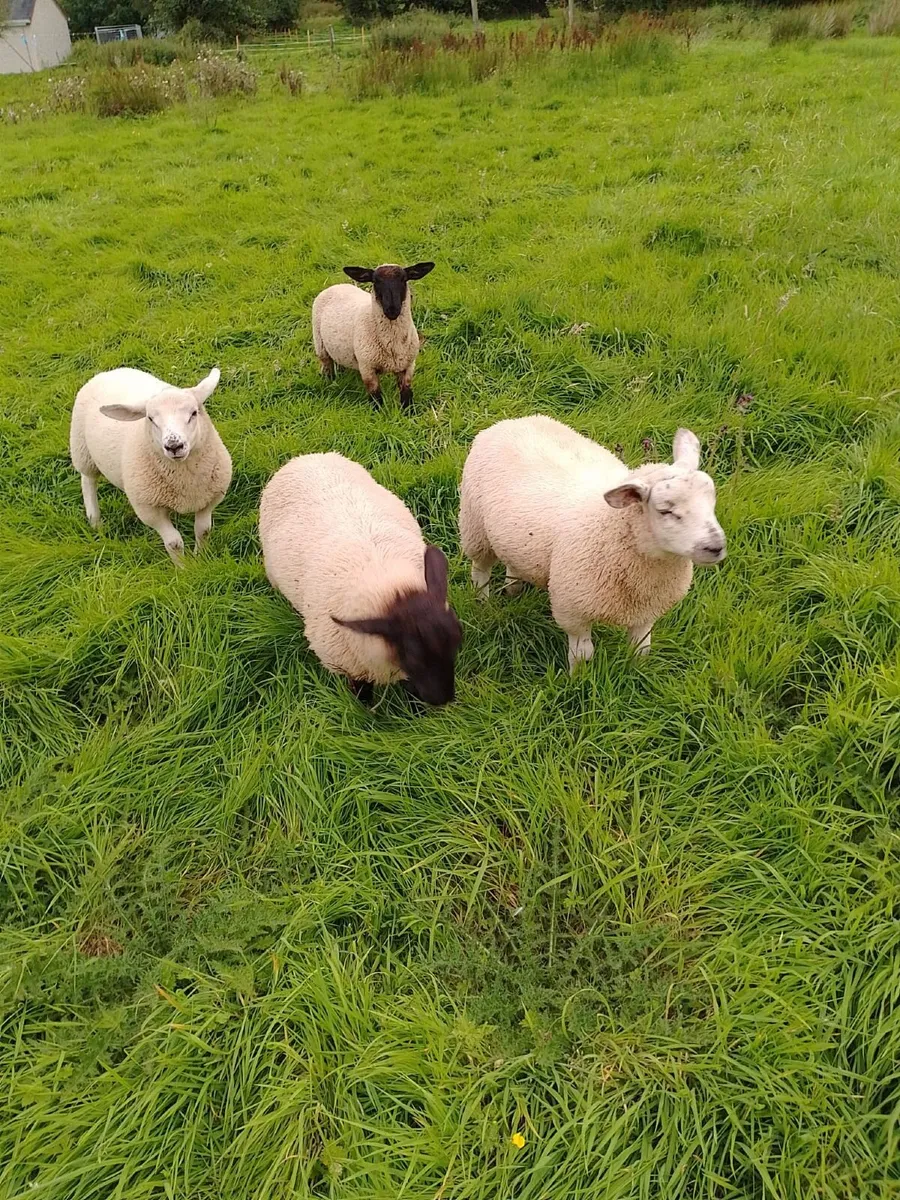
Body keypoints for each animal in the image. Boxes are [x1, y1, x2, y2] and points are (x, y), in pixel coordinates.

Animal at [70, 366, 232, 565]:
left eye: (194, 413)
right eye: (150, 419)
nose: (174, 446)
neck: (185, 480)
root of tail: (109, 372)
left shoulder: (209, 499)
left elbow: (203, 531)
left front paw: (200, 558)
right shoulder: (150, 511)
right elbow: (174, 543)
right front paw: (183, 567)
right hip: (82, 450)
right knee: (88, 481)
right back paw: (95, 520)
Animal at [259, 452, 462, 706]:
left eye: (457, 641)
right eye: (413, 657)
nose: (443, 700)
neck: (390, 584)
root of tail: (305, 457)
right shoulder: (352, 669)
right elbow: (363, 697)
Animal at [312, 262, 435, 409]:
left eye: (404, 279)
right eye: (375, 281)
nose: (392, 310)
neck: (392, 345)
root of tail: (336, 285)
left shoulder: (408, 366)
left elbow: (406, 395)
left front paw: (409, 412)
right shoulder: (367, 368)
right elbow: (376, 397)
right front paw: (378, 412)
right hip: (320, 345)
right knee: (327, 366)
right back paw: (329, 382)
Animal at [459, 416, 726, 671]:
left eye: (712, 500)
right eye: (665, 510)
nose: (716, 546)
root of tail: (511, 422)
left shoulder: (647, 611)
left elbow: (641, 649)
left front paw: (638, 672)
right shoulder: (573, 611)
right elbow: (583, 655)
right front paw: (578, 679)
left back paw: (513, 589)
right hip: (475, 528)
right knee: (480, 569)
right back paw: (482, 602)